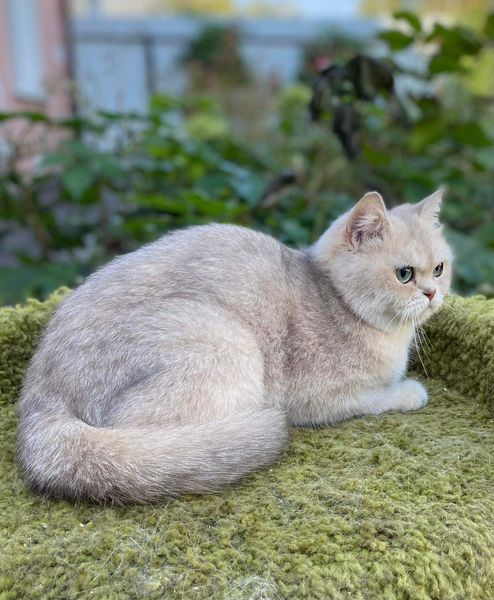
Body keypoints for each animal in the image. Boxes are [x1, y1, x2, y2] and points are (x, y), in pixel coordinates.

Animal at [18, 191, 452, 502]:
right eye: (404, 274)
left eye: (439, 269)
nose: (432, 294)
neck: (334, 296)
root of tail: (40, 401)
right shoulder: (323, 398)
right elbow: (379, 396)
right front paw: (409, 392)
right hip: (222, 340)